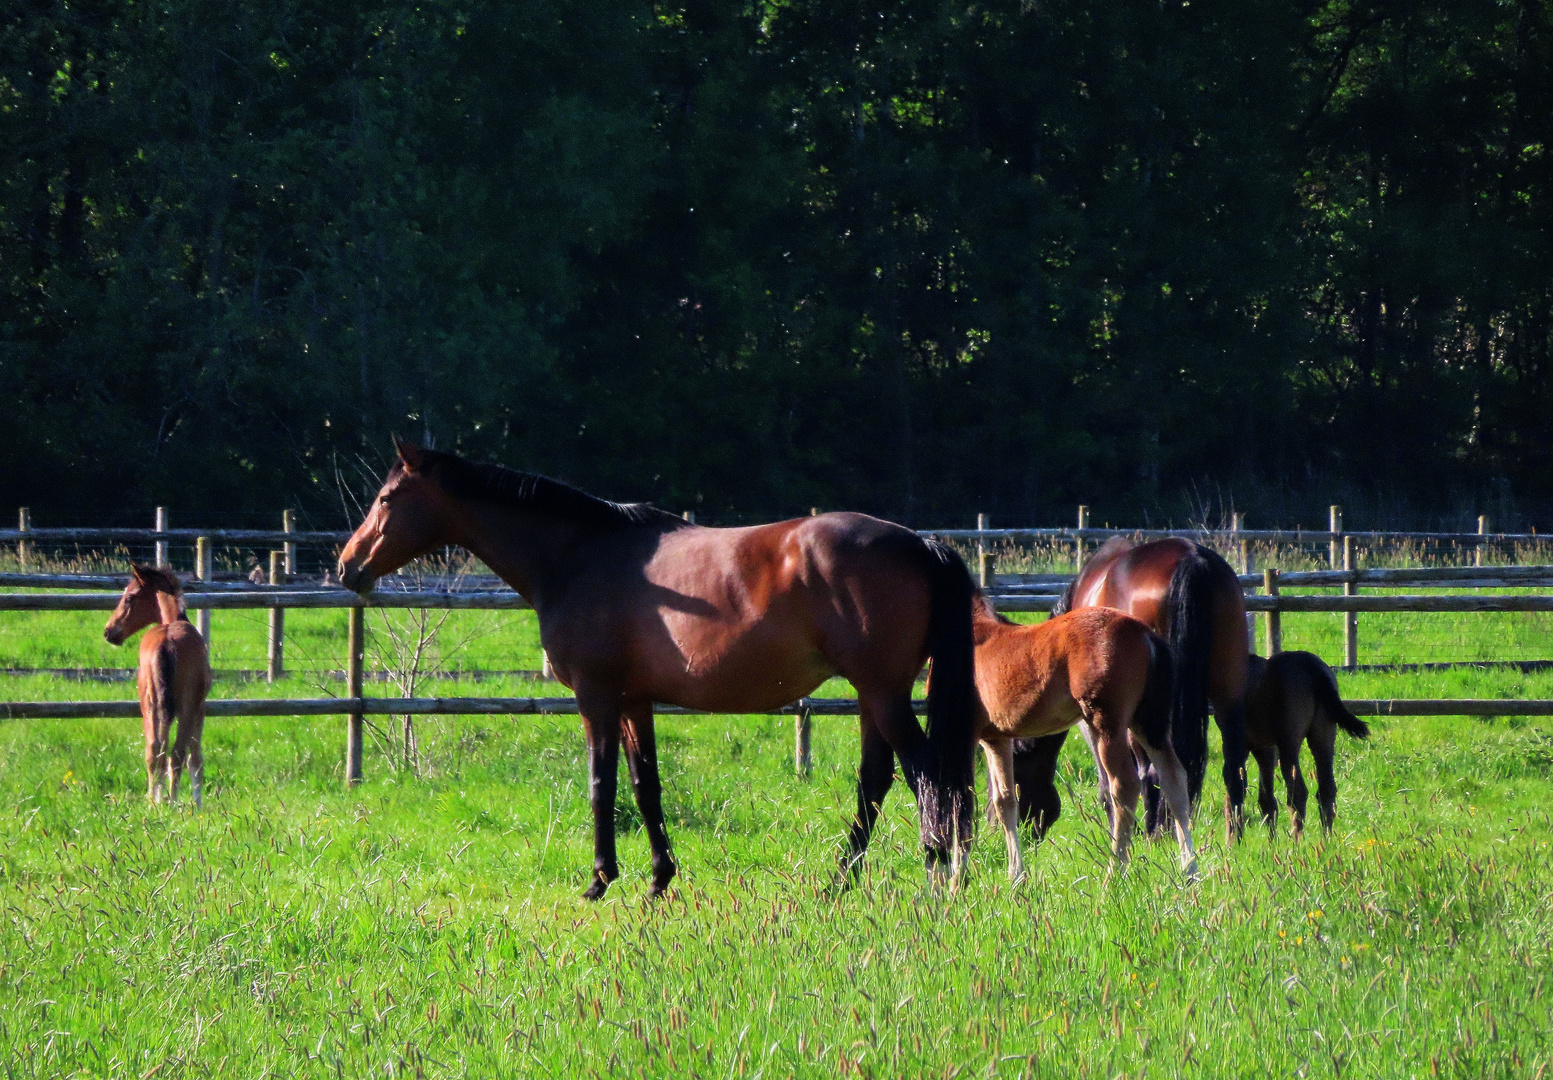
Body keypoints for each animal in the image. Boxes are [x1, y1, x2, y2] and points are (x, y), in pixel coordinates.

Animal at [101, 571, 212, 808]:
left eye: (129, 597)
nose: (108, 631)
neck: (172, 620)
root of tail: (166, 643)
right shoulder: (200, 709)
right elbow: (195, 758)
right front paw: (198, 804)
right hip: (187, 708)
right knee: (177, 753)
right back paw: (172, 802)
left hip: (149, 704)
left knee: (154, 751)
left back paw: (154, 803)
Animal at [340, 435, 975, 901]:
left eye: (387, 498)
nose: (348, 565)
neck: (578, 557)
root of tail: (922, 545)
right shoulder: (633, 700)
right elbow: (646, 785)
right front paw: (658, 879)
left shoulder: (595, 697)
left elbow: (601, 783)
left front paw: (599, 880)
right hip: (873, 695)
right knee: (878, 780)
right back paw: (839, 882)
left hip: (883, 692)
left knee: (927, 776)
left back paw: (937, 874)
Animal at [969, 596, 1198, 882]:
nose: (1033, 833)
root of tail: (1146, 634)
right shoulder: (996, 738)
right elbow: (1004, 799)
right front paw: (1016, 877)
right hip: (1148, 723)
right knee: (1174, 778)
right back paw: (1190, 870)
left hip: (1106, 724)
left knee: (1124, 785)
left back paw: (1114, 873)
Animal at [1006, 540, 1248, 845]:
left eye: (1015, 770)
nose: (1025, 832)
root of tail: (1192, 559)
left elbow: (1108, 783)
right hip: (1229, 690)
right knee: (1233, 766)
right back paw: (1233, 838)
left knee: (1152, 772)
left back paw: (1156, 834)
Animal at [1248, 649, 1372, 839]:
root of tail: (1311, 663)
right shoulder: (1264, 749)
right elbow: (1266, 799)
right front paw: (1270, 841)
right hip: (1324, 736)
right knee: (1326, 790)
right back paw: (1326, 840)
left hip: (1289, 743)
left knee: (1298, 792)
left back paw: (1297, 840)